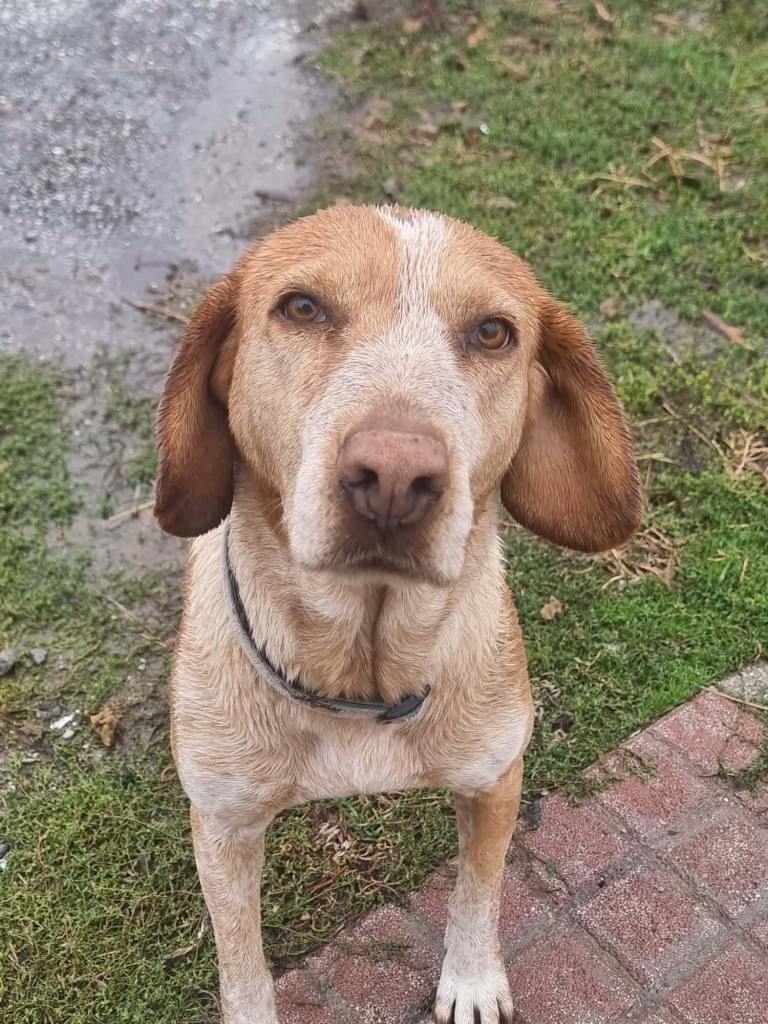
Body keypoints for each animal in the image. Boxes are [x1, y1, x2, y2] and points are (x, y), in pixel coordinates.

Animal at [155, 204, 641, 1024]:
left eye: (492, 332)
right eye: (302, 308)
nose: (393, 476)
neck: (360, 674)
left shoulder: (495, 779)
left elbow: (479, 891)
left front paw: (470, 979)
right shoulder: (223, 830)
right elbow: (243, 968)